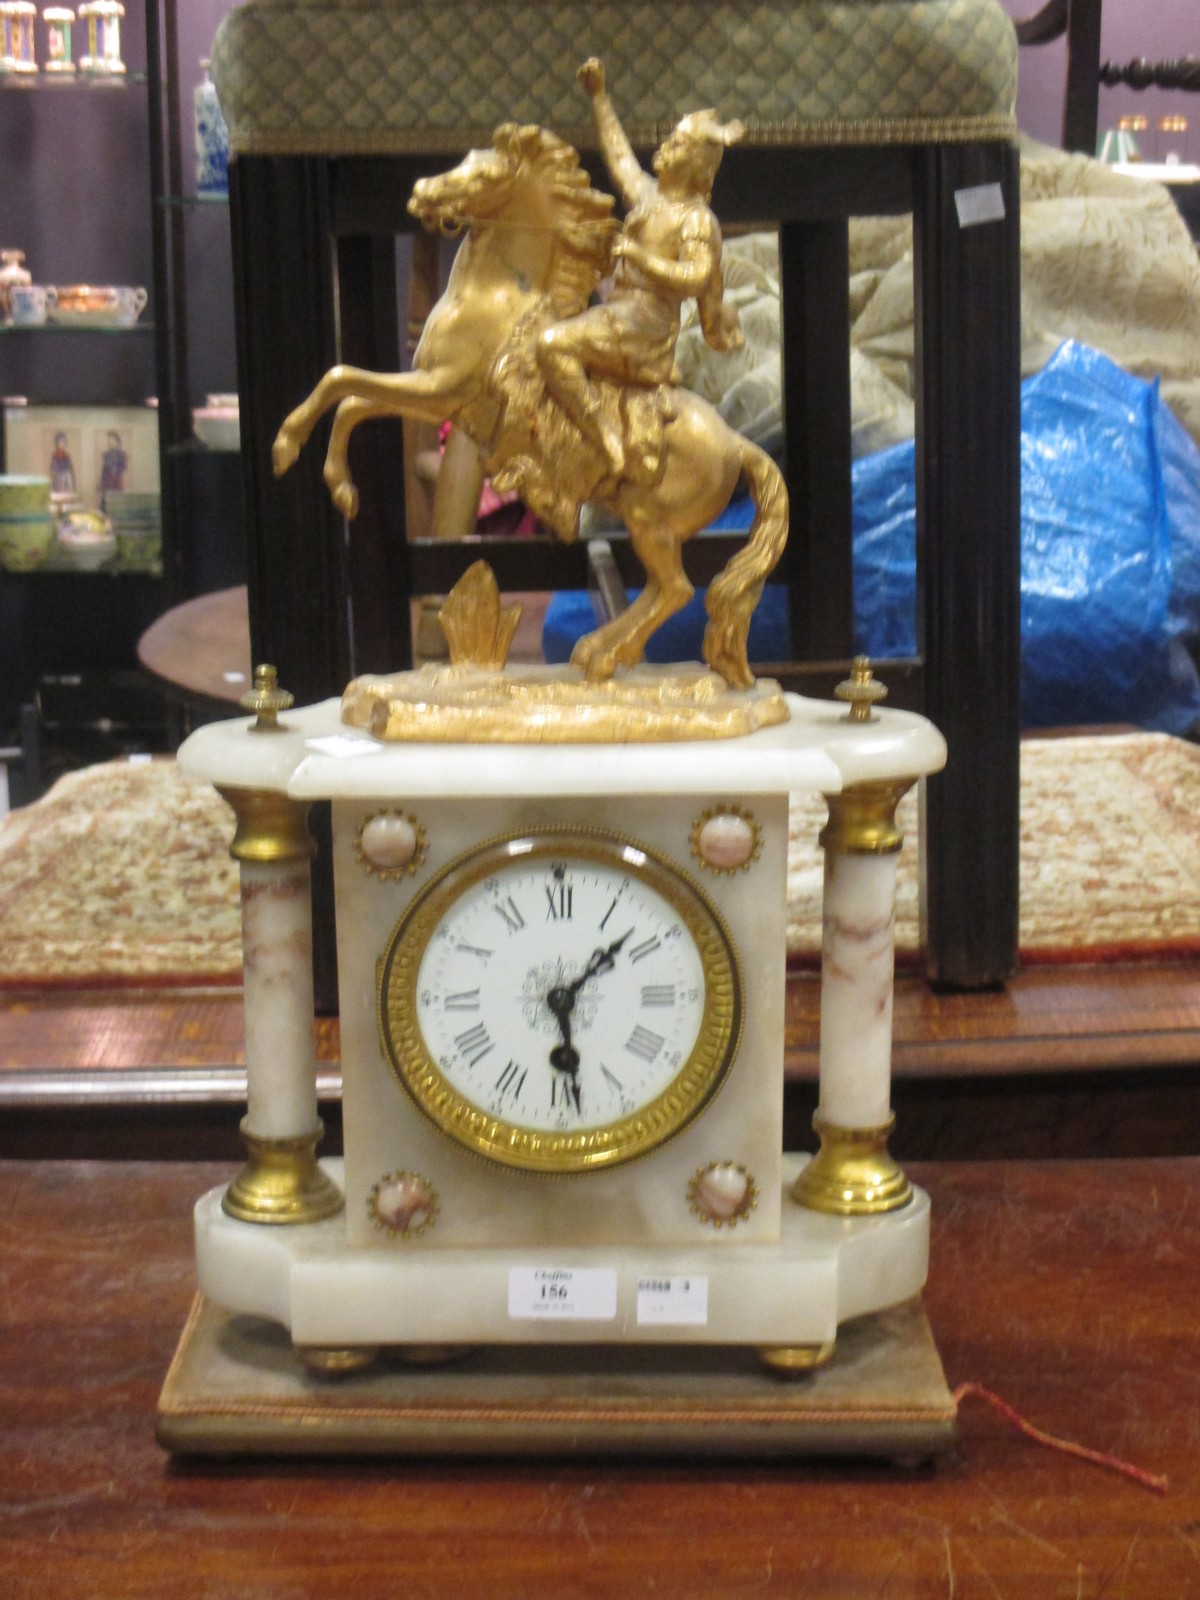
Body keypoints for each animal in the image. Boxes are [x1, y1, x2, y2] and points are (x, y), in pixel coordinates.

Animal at [276, 123, 793, 688]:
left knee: (675, 588)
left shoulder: (440, 390)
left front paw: (291, 451)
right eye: (461, 158)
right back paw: (599, 651)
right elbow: (351, 398)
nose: (420, 192)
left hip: (647, 520)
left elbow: (343, 381)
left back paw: (604, 655)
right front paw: (337, 486)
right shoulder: (435, 401)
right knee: (663, 590)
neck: (501, 300)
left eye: (483, 175)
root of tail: (739, 446)